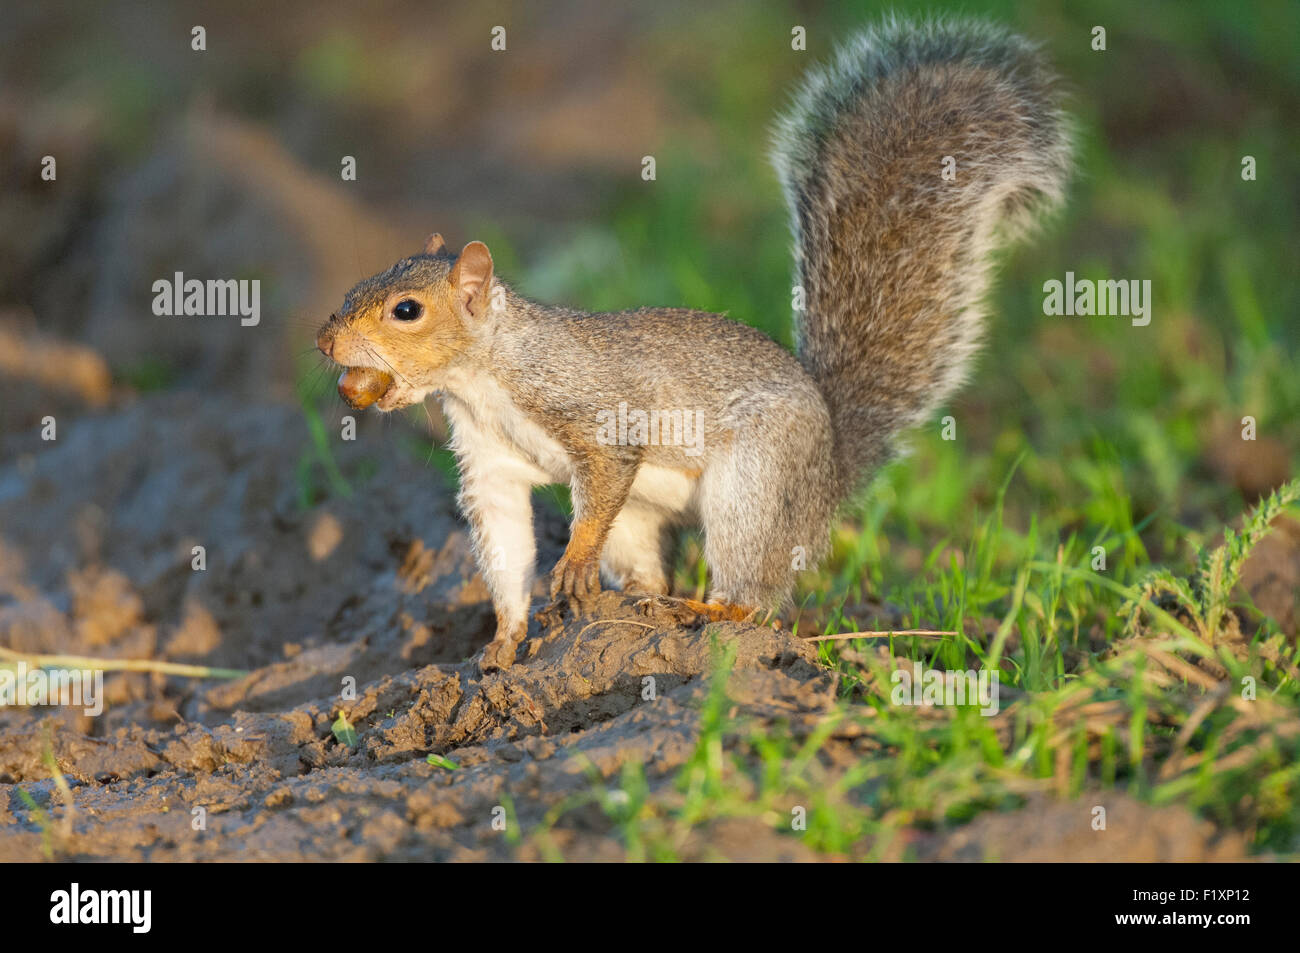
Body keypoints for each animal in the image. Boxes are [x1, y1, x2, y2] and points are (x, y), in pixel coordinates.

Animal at [316, 17, 1072, 671]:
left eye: (406, 310)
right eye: (358, 284)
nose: (325, 343)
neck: (482, 378)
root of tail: (829, 472)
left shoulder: (595, 408)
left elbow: (604, 473)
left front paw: (571, 564)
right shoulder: (491, 466)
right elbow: (506, 546)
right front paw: (504, 640)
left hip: (757, 485)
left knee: (756, 597)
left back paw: (705, 611)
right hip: (646, 518)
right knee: (652, 564)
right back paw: (636, 600)